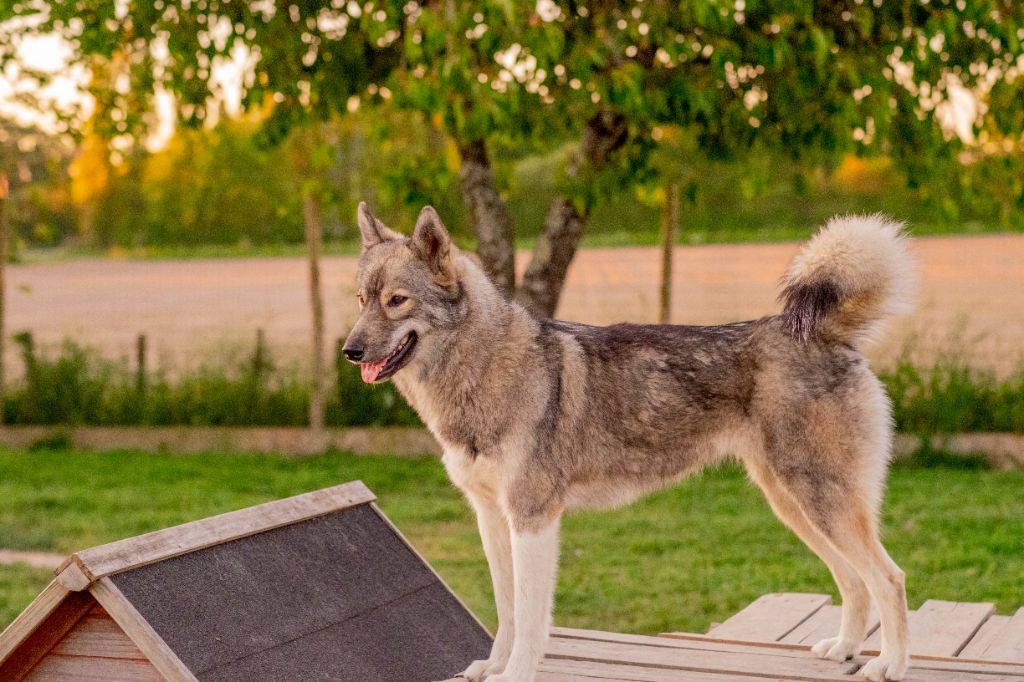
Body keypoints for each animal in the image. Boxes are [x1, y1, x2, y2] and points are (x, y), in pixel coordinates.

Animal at [342, 202, 913, 679]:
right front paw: (493, 667)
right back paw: (844, 649)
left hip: (821, 503)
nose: (349, 350)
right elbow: (506, 613)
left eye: (397, 301)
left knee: (889, 578)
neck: (483, 370)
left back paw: (889, 665)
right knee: (854, 581)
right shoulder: (492, 518)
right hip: (795, 506)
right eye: (362, 300)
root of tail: (822, 332)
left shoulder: (533, 520)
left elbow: (530, 620)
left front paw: (516, 674)